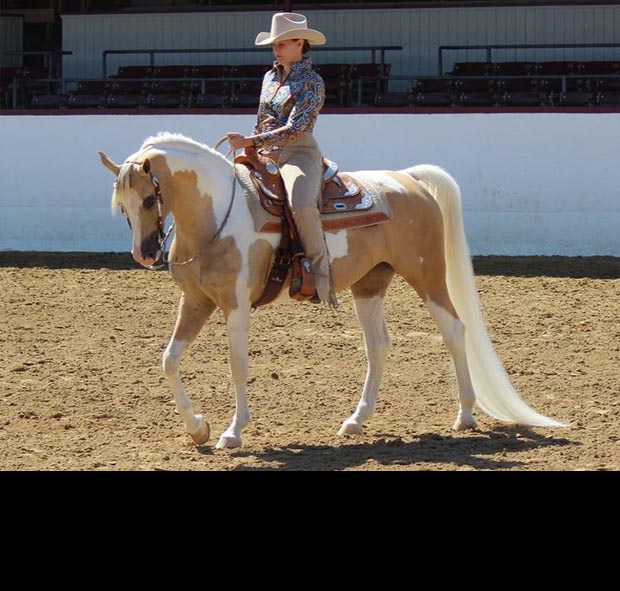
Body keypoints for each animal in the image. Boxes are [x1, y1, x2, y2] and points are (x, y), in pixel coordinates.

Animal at [98, 133, 568, 448]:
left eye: (148, 200)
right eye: (121, 206)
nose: (144, 253)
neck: (218, 216)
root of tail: (408, 180)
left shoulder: (235, 305)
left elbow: (237, 365)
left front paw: (233, 432)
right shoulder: (196, 302)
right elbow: (169, 360)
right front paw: (198, 428)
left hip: (428, 276)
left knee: (454, 331)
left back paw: (465, 415)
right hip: (370, 284)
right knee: (378, 345)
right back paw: (356, 420)